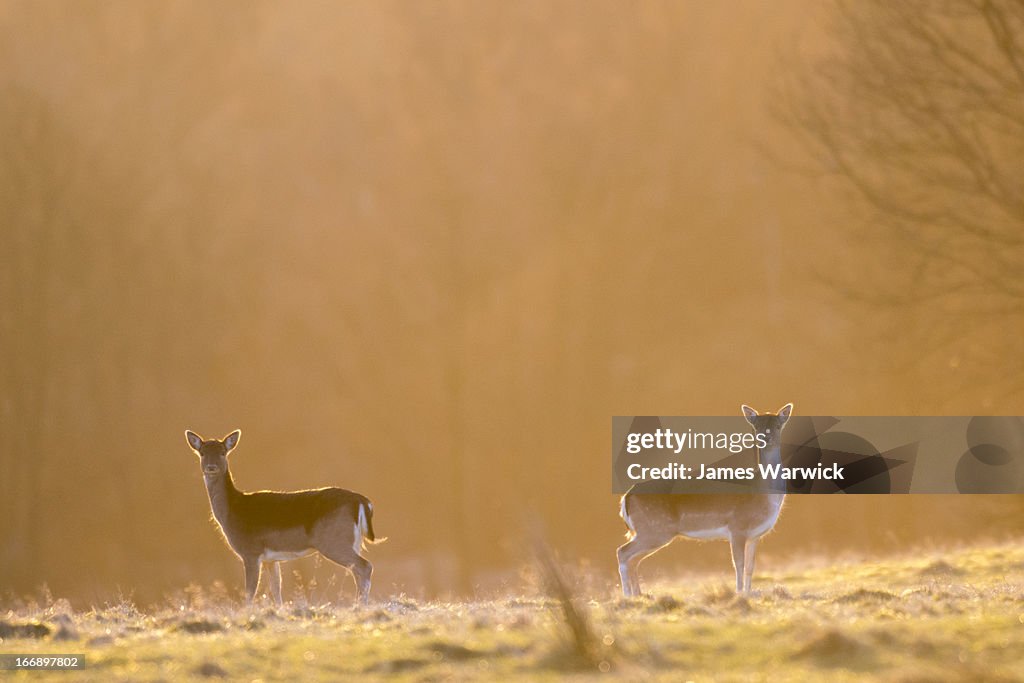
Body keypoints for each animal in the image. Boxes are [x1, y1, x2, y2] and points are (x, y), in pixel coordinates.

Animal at [185, 429, 383, 605]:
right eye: (202, 453)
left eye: (223, 452)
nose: (211, 467)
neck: (232, 512)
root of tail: (361, 501)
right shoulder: (271, 559)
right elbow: (276, 589)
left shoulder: (251, 551)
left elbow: (250, 591)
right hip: (352, 542)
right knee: (358, 571)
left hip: (334, 541)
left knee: (365, 566)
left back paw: (360, 605)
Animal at [617, 403, 793, 597]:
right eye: (757, 427)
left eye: (778, 426)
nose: (766, 438)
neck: (763, 495)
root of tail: (626, 497)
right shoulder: (737, 527)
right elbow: (738, 564)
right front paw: (739, 593)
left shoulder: (755, 535)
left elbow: (750, 567)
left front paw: (747, 592)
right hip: (654, 529)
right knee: (622, 552)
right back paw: (627, 596)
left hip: (650, 531)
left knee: (633, 559)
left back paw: (639, 596)